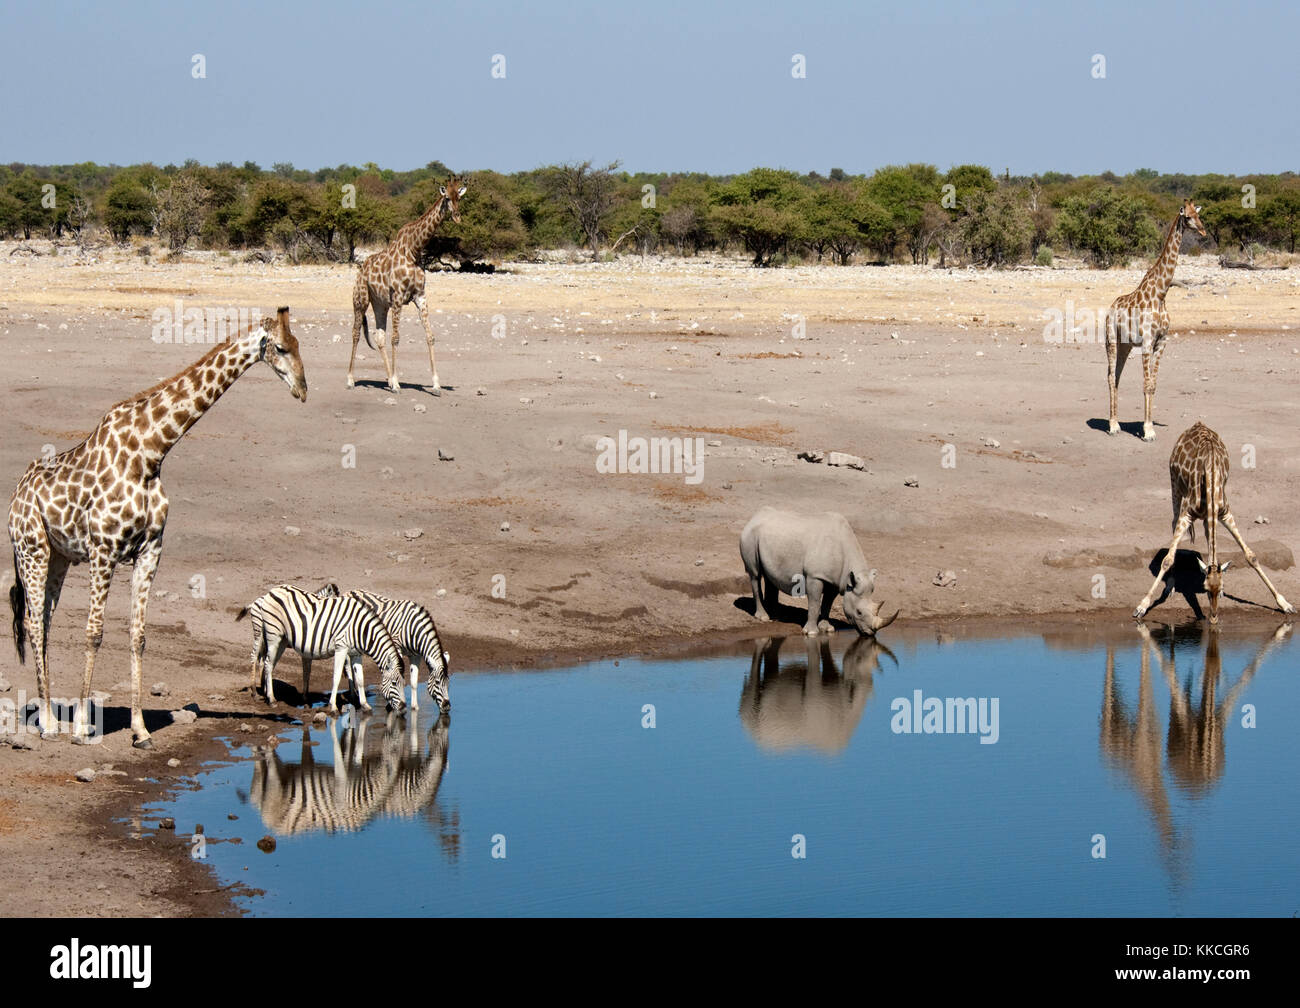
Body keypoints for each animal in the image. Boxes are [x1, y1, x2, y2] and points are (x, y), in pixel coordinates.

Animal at [8, 309, 306, 749]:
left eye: (300, 345)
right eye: (282, 348)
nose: (303, 389)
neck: (150, 452)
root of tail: (15, 497)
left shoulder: (149, 550)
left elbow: (138, 636)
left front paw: (140, 730)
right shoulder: (103, 551)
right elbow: (94, 632)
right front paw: (81, 727)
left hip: (58, 557)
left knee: (42, 621)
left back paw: (50, 716)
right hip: (33, 550)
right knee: (31, 622)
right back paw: (47, 722)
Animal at [236, 580, 403, 712]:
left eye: (404, 683)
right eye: (394, 683)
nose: (403, 707)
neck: (360, 629)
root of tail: (272, 591)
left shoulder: (356, 653)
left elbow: (360, 678)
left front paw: (365, 705)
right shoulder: (341, 648)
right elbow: (337, 676)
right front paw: (333, 706)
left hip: (281, 639)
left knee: (268, 663)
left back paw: (265, 693)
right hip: (271, 635)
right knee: (265, 662)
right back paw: (269, 698)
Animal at [345, 175, 467, 395]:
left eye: (459, 198)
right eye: (446, 197)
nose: (457, 216)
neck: (414, 249)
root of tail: (360, 269)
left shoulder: (420, 296)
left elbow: (430, 336)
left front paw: (436, 385)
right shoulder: (398, 297)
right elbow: (396, 338)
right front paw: (397, 384)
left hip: (380, 304)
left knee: (379, 337)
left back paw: (388, 379)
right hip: (360, 300)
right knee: (356, 333)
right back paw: (351, 380)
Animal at [1107, 201, 1206, 442]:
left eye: (1199, 214)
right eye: (1187, 217)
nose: (1203, 232)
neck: (1161, 294)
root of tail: (1110, 307)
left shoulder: (1161, 342)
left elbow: (1153, 385)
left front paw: (1149, 427)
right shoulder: (1147, 342)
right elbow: (1145, 384)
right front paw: (1147, 431)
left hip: (1125, 345)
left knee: (1117, 376)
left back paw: (1117, 423)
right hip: (1111, 340)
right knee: (1110, 376)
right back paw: (1112, 426)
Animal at [1133, 418, 1294, 621]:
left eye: (1220, 587)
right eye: (1206, 589)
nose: (1214, 618)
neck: (1210, 477)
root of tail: (1197, 424)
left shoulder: (1224, 513)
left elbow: (1251, 556)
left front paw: (1285, 604)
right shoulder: (1187, 513)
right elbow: (1167, 559)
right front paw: (1142, 606)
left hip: (1205, 515)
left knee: (1207, 535)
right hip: (1175, 487)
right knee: (1173, 524)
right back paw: (1171, 585)